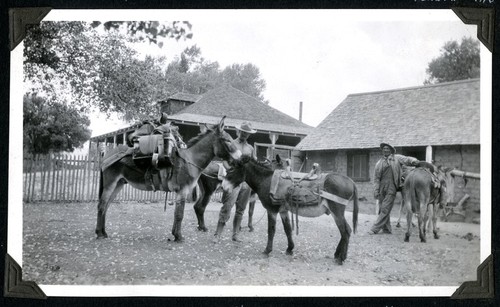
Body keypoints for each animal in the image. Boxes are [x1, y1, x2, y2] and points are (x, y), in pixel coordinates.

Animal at [96, 118, 242, 243]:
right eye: (228, 141)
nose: (241, 159)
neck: (190, 160)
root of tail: (106, 155)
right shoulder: (183, 190)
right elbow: (179, 214)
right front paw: (179, 237)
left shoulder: (180, 192)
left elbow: (177, 213)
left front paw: (174, 235)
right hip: (111, 183)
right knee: (102, 205)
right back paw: (99, 233)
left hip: (119, 183)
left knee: (106, 206)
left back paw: (104, 232)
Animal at [223, 158, 360, 266]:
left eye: (231, 170)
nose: (223, 188)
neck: (267, 180)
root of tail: (351, 181)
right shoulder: (283, 211)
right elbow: (287, 229)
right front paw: (290, 249)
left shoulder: (271, 210)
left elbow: (271, 230)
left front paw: (267, 251)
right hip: (335, 212)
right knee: (346, 231)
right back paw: (337, 255)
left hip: (336, 210)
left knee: (345, 231)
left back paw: (341, 259)